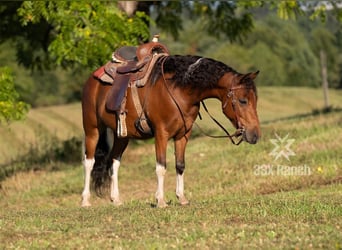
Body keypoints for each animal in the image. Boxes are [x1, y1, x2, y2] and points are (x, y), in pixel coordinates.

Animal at [81, 55, 260, 208]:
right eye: (243, 101)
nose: (255, 135)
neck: (179, 90)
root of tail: (92, 79)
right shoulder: (161, 134)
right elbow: (161, 166)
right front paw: (160, 200)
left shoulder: (183, 135)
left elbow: (180, 165)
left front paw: (182, 197)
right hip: (92, 130)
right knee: (89, 162)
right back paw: (85, 200)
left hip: (122, 136)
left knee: (114, 161)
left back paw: (116, 199)